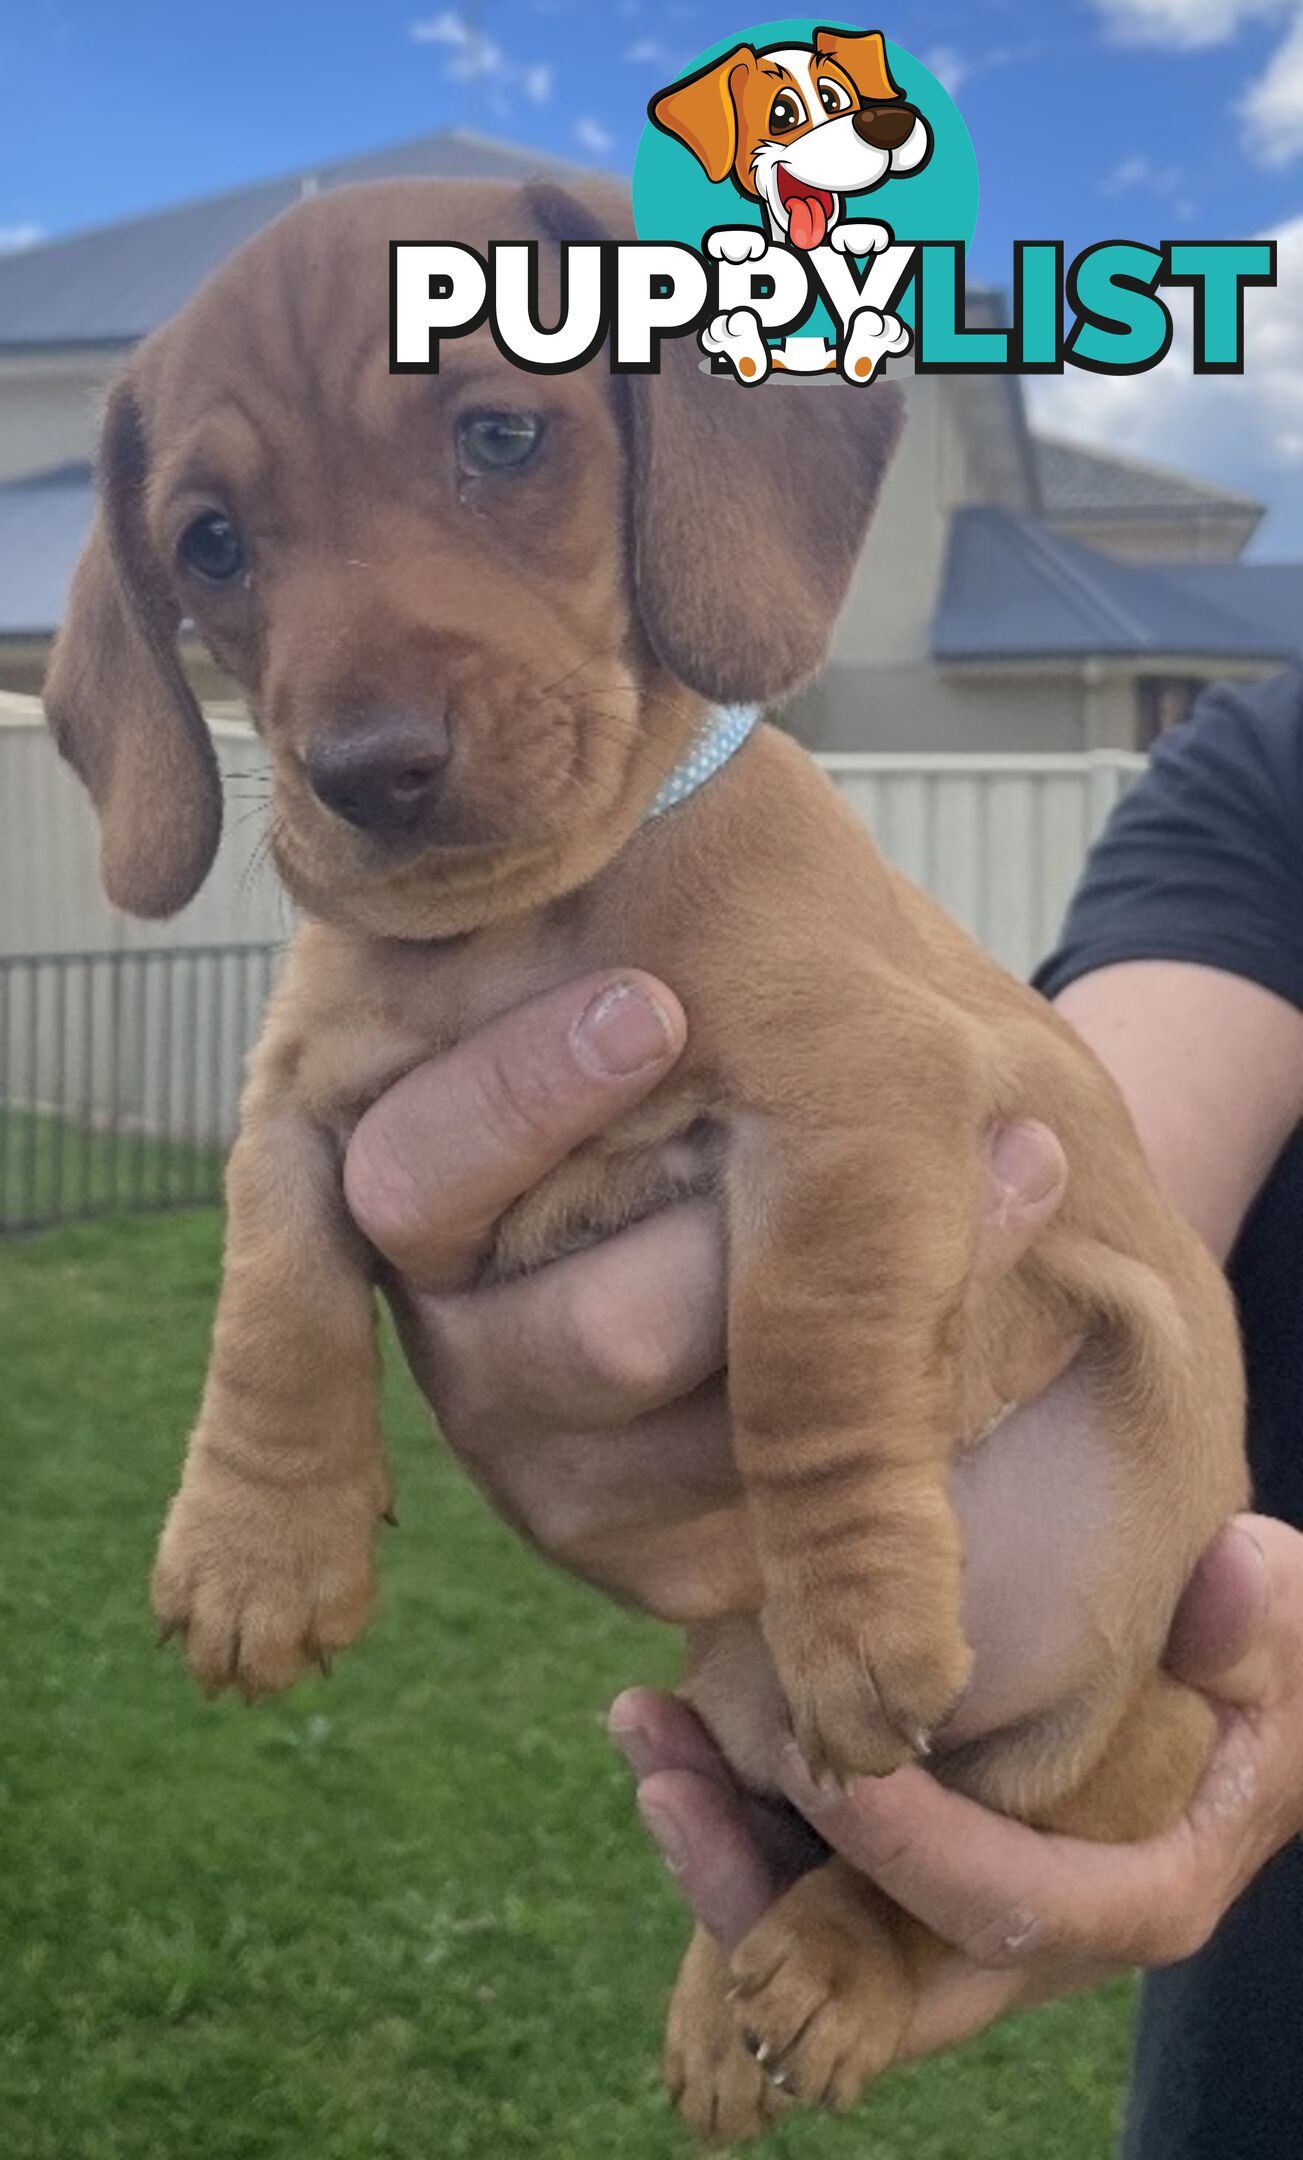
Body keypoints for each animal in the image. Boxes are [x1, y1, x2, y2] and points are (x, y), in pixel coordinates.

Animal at [45, 181, 1253, 2142]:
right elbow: (272, 1287)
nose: (365, 771)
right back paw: (723, 1999)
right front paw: (256, 1546)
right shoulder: (301, 1101)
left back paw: (828, 1968)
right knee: (770, 1844)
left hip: (1108, 1740)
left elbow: (809, 1353)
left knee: (911, 1880)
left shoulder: (858, 1098)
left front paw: (855, 1609)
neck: (512, 934)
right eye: (209, 545)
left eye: (498, 435)